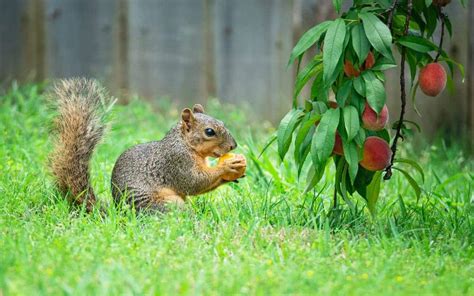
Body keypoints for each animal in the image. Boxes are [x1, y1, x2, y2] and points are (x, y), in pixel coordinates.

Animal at [49, 78, 246, 212]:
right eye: (209, 132)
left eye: (221, 122)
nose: (233, 146)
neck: (185, 143)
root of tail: (120, 214)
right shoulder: (177, 162)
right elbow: (193, 182)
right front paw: (227, 166)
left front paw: (233, 175)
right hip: (166, 204)